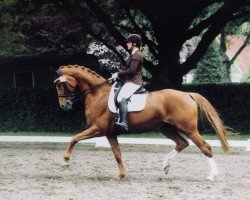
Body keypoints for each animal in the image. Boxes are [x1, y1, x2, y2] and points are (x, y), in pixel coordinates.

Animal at [53, 64, 229, 181]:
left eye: (60, 84)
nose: (64, 106)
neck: (98, 94)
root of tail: (187, 94)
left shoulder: (98, 129)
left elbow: (74, 138)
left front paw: (65, 162)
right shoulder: (109, 133)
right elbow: (117, 154)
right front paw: (121, 175)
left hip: (189, 129)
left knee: (205, 147)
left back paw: (212, 176)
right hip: (167, 128)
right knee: (182, 143)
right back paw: (165, 165)